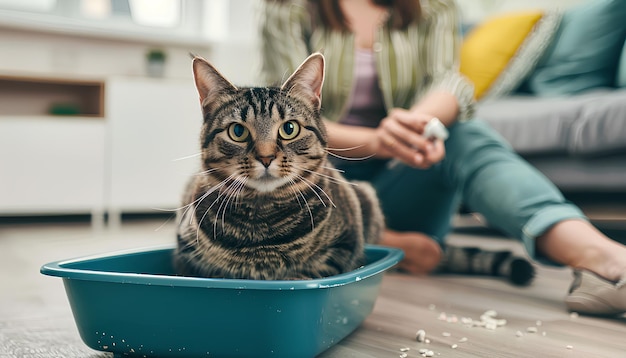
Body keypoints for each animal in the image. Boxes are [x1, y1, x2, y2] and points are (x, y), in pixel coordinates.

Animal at [173, 53, 382, 282]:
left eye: (289, 129)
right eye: (237, 131)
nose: (266, 157)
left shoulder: (341, 249)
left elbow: (305, 274)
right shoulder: (186, 258)